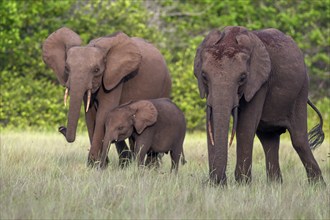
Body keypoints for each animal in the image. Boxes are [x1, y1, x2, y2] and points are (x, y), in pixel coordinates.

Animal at [42, 26, 171, 166]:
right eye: (66, 68)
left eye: (96, 70)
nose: (61, 128)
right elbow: (89, 115)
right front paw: (96, 164)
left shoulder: (116, 77)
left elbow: (103, 113)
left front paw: (96, 164)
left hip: (165, 85)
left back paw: (149, 166)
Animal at [193, 25, 324, 186]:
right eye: (204, 76)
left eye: (242, 78)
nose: (218, 181)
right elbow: (211, 120)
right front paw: (217, 185)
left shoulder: (260, 83)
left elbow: (245, 125)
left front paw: (242, 185)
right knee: (269, 139)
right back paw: (275, 185)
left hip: (301, 89)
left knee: (299, 140)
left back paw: (318, 187)